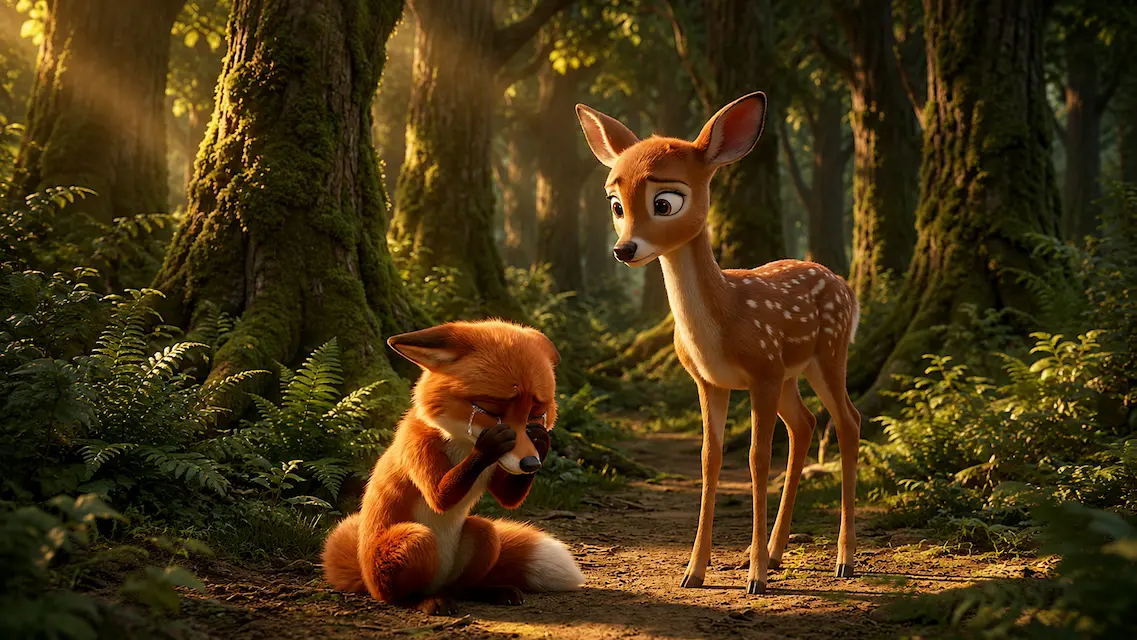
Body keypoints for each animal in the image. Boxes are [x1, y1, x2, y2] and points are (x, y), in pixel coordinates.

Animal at [321, 320, 585, 615]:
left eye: (536, 414)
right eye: (490, 410)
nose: (531, 464)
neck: (462, 444)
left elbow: (508, 498)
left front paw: (542, 441)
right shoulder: (416, 443)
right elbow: (440, 497)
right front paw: (490, 443)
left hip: (484, 535)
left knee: (462, 585)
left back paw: (489, 591)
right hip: (413, 541)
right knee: (395, 596)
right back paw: (424, 601)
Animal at [575, 92, 861, 595]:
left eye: (665, 201)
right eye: (615, 204)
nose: (624, 250)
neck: (725, 316)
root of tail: (845, 285)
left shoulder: (762, 370)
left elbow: (756, 459)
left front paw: (755, 579)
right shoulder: (711, 381)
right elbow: (710, 459)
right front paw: (694, 571)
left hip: (828, 352)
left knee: (848, 421)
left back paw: (843, 560)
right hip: (791, 373)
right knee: (806, 423)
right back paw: (774, 551)